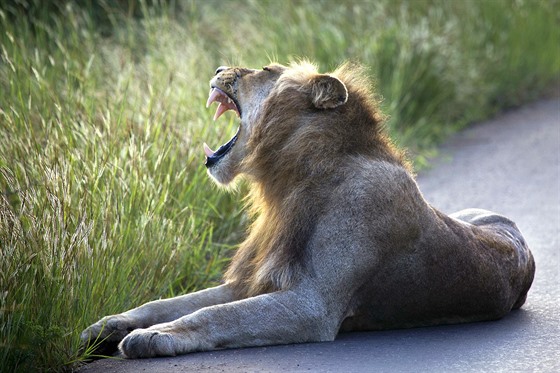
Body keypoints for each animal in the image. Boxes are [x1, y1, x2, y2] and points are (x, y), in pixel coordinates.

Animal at [81, 61, 536, 358]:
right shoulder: (253, 280)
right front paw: (108, 325)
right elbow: (172, 301)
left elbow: (215, 315)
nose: (219, 66)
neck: (287, 182)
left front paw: (153, 336)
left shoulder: (311, 305)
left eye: (265, 70)